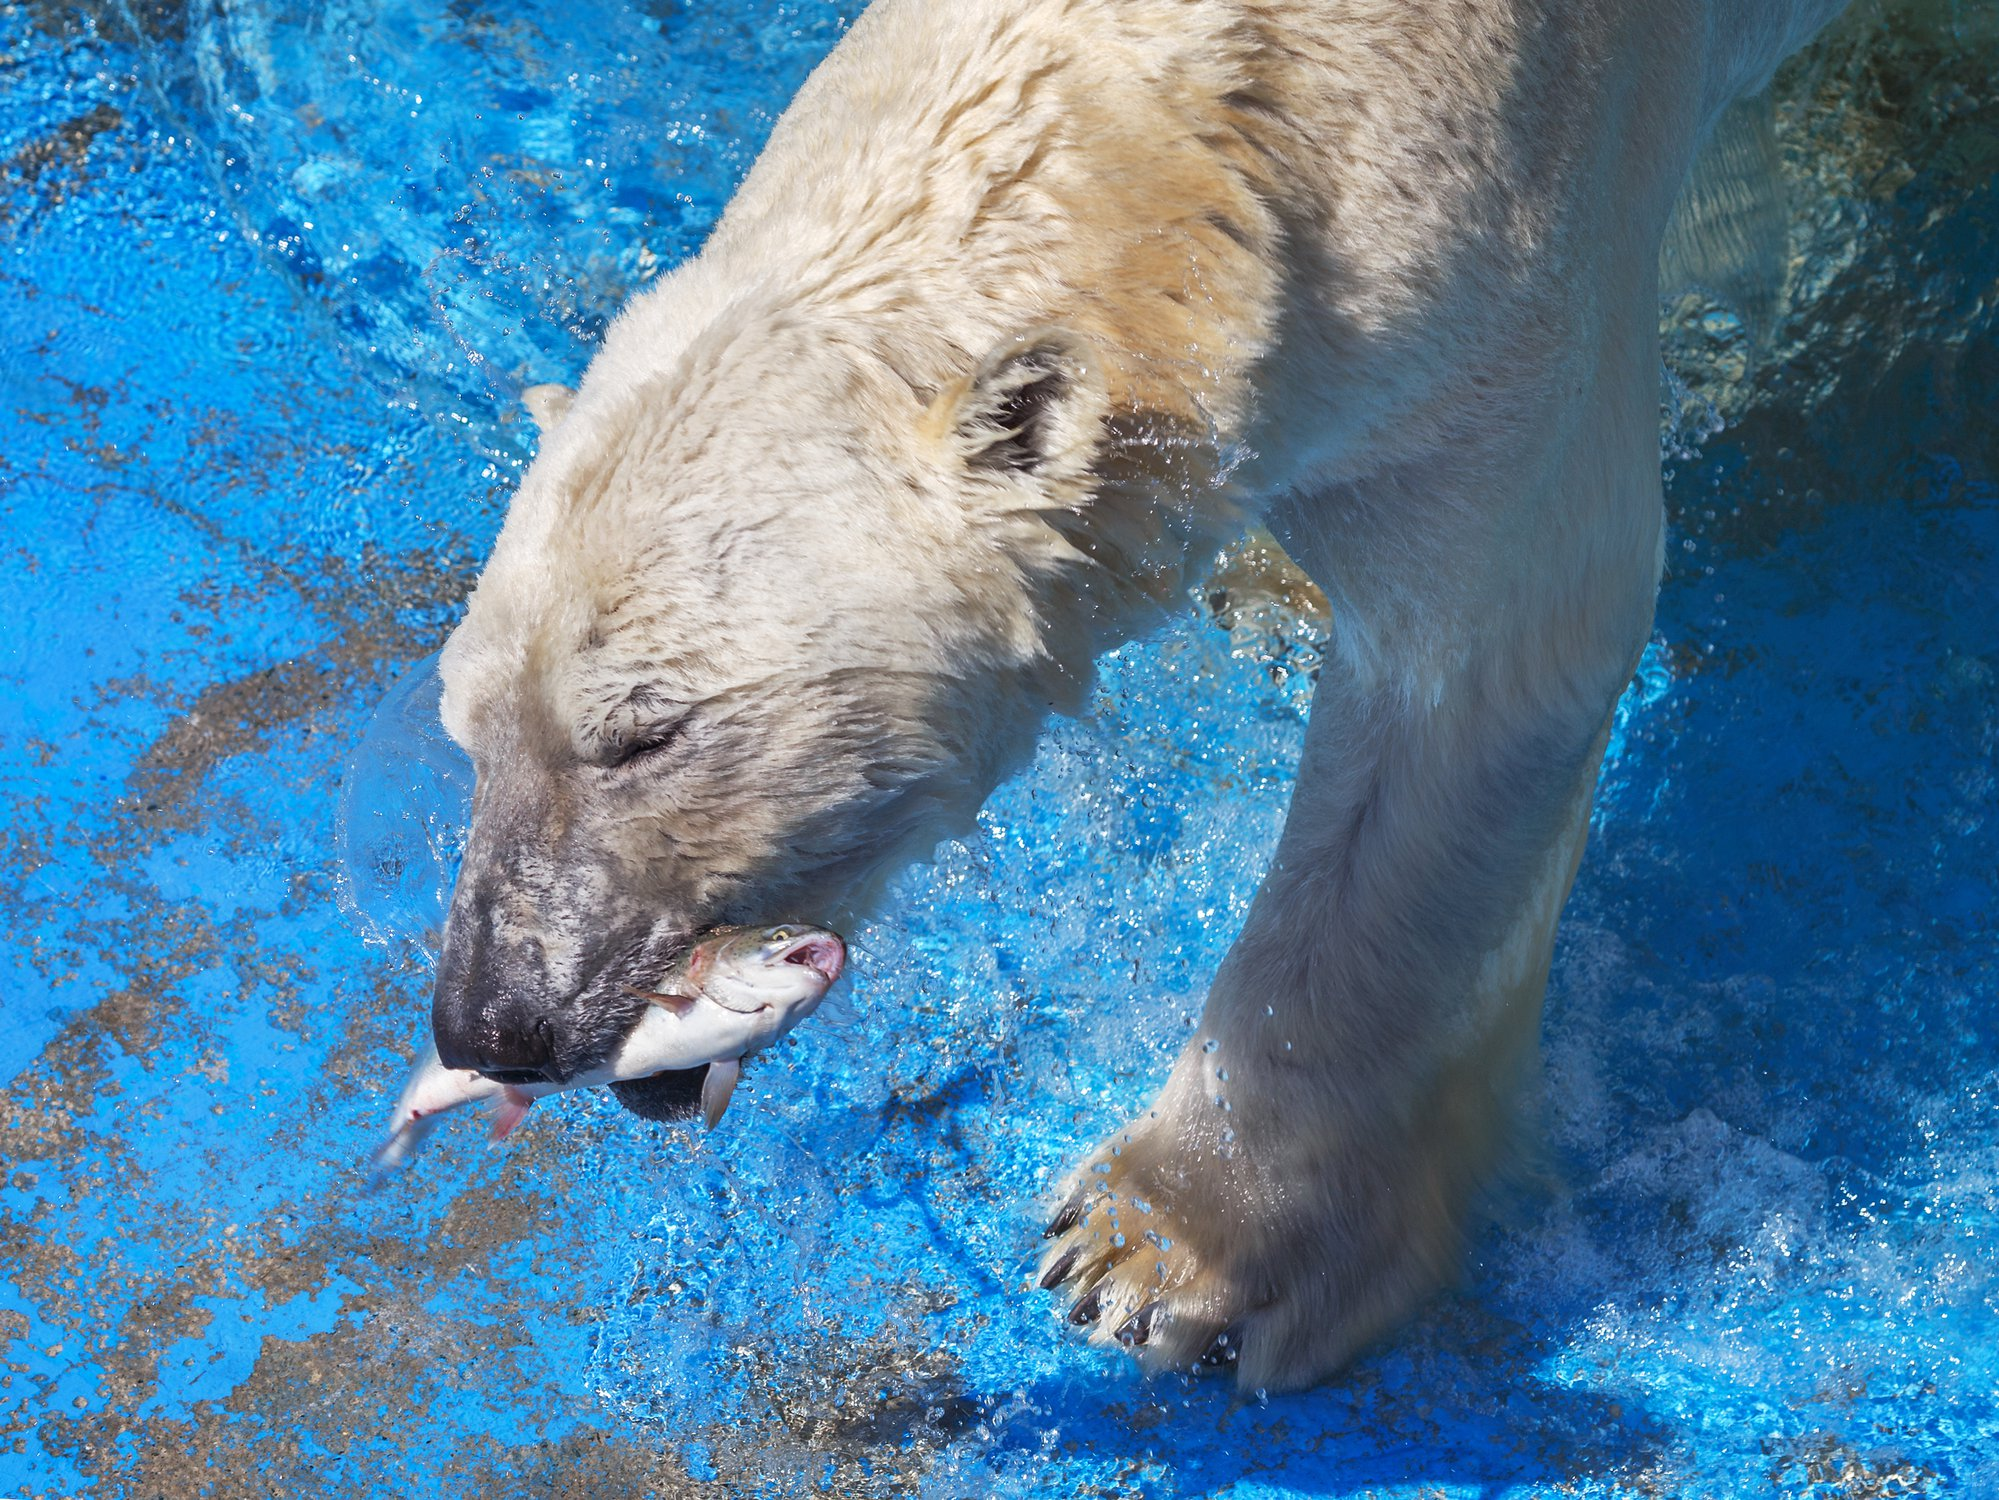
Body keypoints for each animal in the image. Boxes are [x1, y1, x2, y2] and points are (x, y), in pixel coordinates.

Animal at [433, 0, 1855, 1400]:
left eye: (644, 731)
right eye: (465, 732)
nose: (491, 1019)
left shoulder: (1504, 291)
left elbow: (1477, 670)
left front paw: (1164, 1254)